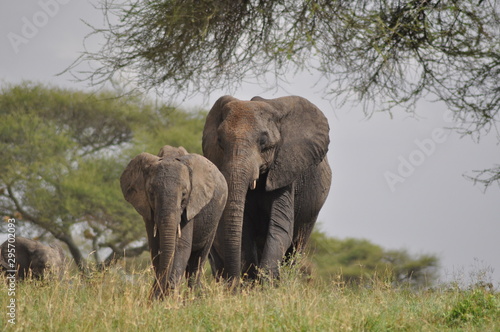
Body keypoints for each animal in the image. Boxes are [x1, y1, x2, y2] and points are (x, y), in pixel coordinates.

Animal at [121, 145, 227, 298]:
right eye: (151, 193)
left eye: (184, 194)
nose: (155, 295)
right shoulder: (147, 209)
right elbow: (155, 246)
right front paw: (160, 296)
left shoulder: (191, 206)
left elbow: (182, 246)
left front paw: (168, 296)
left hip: (216, 217)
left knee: (199, 259)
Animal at [201, 94, 330, 282]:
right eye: (219, 141)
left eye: (263, 141)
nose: (235, 281)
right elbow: (244, 229)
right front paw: (251, 282)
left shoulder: (285, 170)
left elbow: (280, 227)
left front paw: (266, 283)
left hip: (311, 213)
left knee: (297, 245)